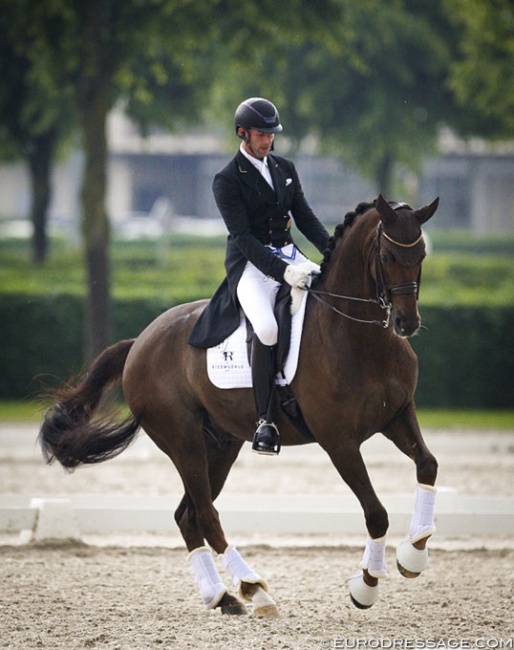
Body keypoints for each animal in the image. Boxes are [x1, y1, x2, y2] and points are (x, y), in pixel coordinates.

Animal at [40, 191, 438, 612]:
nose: (406, 324)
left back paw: (221, 596)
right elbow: (376, 512)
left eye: (422, 253)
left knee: (187, 515)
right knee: (205, 514)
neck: (359, 337)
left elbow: (428, 466)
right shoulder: (339, 442)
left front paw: (414, 554)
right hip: (183, 442)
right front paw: (366, 584)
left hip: (220, 445)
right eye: (387, 256)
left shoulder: (397, 416)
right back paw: (253, 589)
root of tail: (140, 342)